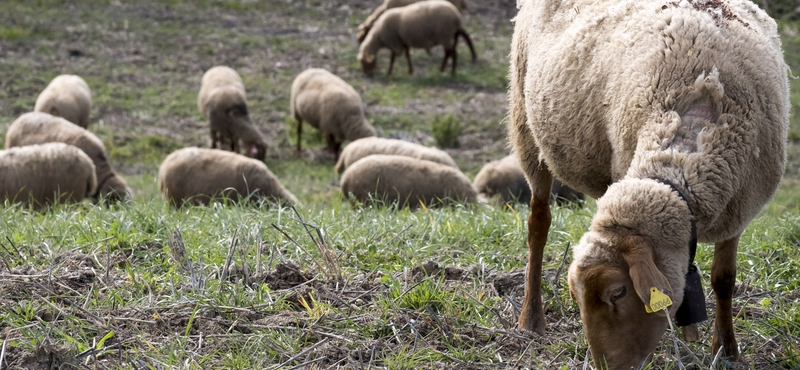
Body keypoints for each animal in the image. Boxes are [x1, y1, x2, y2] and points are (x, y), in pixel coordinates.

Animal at [510, 0, 792, 368]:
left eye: (618, 292)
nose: (606, 367)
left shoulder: (738, 209)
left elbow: (723, 279)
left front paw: (726, 350)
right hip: (526, 126)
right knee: (538, 225)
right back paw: (531, 319)